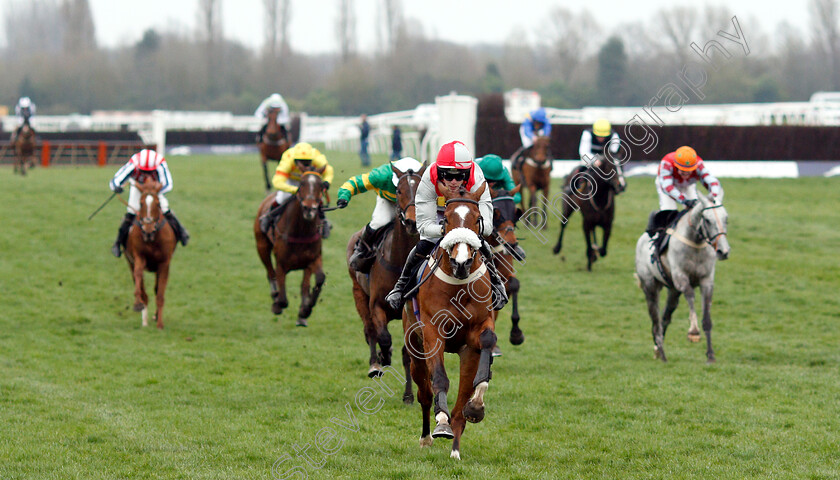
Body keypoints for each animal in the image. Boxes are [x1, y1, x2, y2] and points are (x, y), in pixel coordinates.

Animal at [123, 180, 177, 330]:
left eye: (158, 204)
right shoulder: (138, 258)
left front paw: (160, 324)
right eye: (141, 203)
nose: (148, 230)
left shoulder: (164, 263)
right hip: (129, 261)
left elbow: (160, 294)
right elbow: (139, 276)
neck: (152, 239)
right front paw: (138, 304)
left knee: (157, 289)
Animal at [254, 168, 326, 326]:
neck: (301, 232)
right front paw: (277, 304)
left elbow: (317, 280)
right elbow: (283, 299)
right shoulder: (281, 263)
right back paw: (274, 294)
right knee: (270, 272)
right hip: (261, 246)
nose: (309, 208)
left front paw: (305, 310)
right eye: (302, 183)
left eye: (320, 185)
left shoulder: (313, 258)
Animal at [348, 164, 426, 402]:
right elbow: (383, 336)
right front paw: (384, 356)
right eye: (398, 191)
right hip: (358, 294)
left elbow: (408, 354)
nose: (412, 221)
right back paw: (375, 364)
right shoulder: (376, 305)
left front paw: (408, 395)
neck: (400, 260)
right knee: (370, 330)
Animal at [404, 182, 496, 460]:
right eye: (446, 218)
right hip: (414, 348)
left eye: (477, 219)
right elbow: (440, 379)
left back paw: (455, 448)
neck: (459, 286)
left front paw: (476, 406)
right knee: (424, 394)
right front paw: (440, 423)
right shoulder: (432, 331)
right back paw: (427, 436)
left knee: (460, 405)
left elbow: (487, 340)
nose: (462, 262)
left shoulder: (477, 333)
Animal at [632, 195, 732, 364]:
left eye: (726, 218)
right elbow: (690, 296)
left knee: (665, 318)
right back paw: (662, 354)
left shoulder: (706, 282)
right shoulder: (681, 279)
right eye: (707, 220)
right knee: (656, 322)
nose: (723, 251)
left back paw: (658, 349)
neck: (696, 244)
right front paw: (693, 332)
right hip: (650, 286)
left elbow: (707, 319)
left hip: (673, 292)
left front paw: (710, 355)